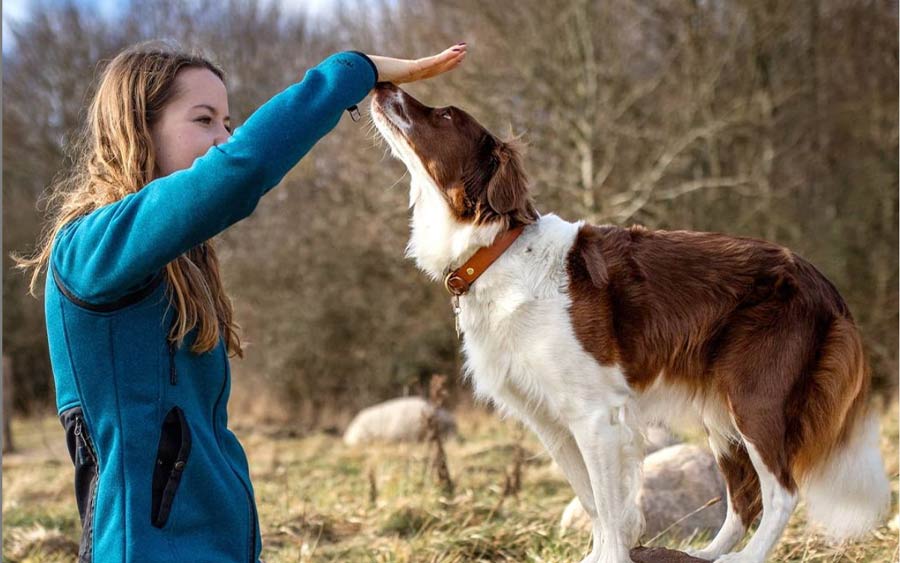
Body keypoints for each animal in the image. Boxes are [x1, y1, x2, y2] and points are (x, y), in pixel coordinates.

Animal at [370, 80, 888, 563]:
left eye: (444, 115)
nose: (381, 84)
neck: (497, 250)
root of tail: (823, 283)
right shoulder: (551, 421)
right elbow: (593, 503)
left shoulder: (596, 415)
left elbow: (609, 505)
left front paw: (613, 556)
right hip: (719, 413)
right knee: (745, 499)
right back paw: (706, 554)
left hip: (756, 400)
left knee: (781, 491)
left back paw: (746, 558)